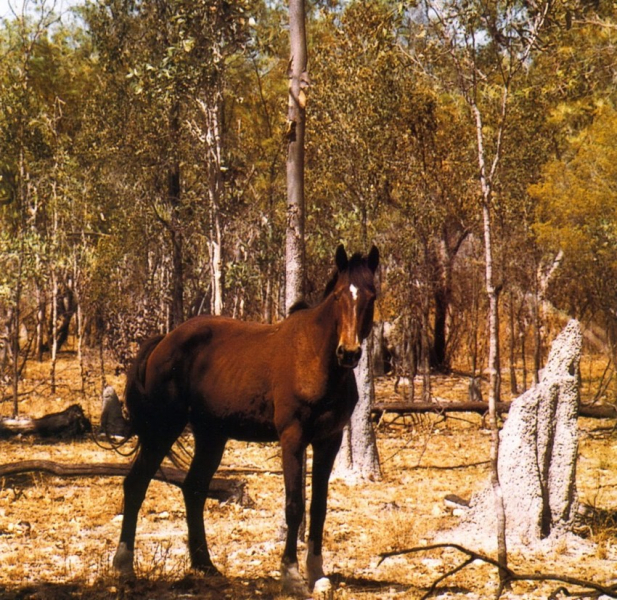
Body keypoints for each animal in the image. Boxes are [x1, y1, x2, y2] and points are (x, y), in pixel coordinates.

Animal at [113, 244, 378, 596]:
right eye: (337, 296)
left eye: (371, 296)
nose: (348, 353)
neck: (315, 358)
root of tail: (164, 342)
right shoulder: (292, 438)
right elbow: (294, 506)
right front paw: (291, 574)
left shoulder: (328, 440)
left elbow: (318, 508)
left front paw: (318, 574)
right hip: (163, 429)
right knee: (136, 484)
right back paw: (124, 565)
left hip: (211, 435)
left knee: (193, 489)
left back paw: (205, 565)